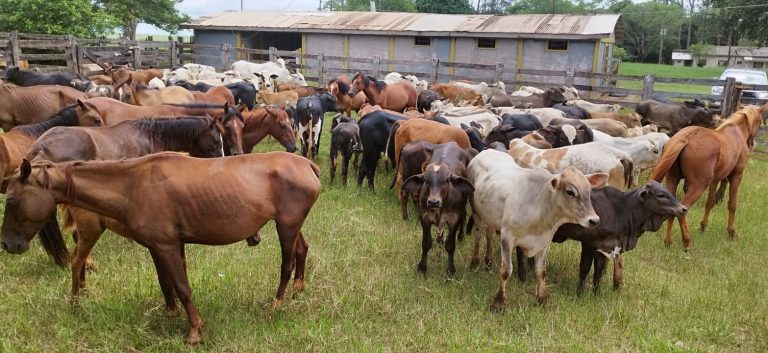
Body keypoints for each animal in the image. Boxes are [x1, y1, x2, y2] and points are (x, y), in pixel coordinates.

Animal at [0, 152, 320, 344]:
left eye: (12, 200)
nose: (7, 244)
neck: (133, 185)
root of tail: (307, 165)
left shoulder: (166, 245)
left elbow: (182, 286)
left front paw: (194, 330)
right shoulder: (162, 246)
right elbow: (166, 282)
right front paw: (170, 313)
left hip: (286, 225)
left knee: (287, 264)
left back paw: (276, 304)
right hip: (290, 225)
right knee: (301, 250)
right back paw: (298, 288)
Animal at [402, 142, 474, 274]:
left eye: (446, 180)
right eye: (426, 180)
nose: (433, 202)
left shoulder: (453, 219)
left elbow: (450, 245)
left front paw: (451, 270)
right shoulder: (425, 217)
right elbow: (426, 243)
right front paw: (422, 268)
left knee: (464, 216)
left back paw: (461, 238)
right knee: (440, 237)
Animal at [468, 148, 608, 308]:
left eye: (589, 191)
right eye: (570, 192)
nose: (594, 220)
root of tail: (486, 150)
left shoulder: (544, 242)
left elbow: (540, 271)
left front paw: (543, 299)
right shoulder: (507, 237)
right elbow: (506, 270)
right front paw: (499, 302)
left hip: (490, 217)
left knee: (489, 234)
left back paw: (489, 261)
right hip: (476, 213)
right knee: (478, 234)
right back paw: (475, 261)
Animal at [652, 104, 764, 250]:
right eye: (760, 122)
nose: (753, 144)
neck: (736, 132)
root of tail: (687, 137)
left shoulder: (715, 181)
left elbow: (709, 202)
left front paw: (703, 227)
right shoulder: (736, 176)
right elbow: (732, 204)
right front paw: (732, 232)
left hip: (672, 181)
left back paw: (668, 241)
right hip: (698, 186)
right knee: (683, 210)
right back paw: (687, 242)